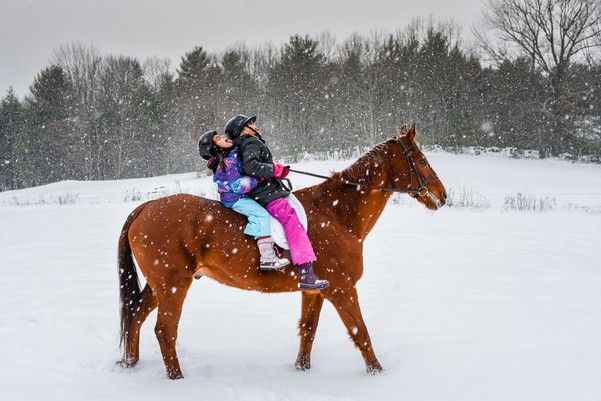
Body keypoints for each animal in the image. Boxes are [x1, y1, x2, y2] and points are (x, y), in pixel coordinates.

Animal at [117, 122, 446, 378]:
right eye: (422, 160)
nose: (442, 195)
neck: (338, 214)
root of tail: (145, 208)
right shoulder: (342, 289)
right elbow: (360, 332)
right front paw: (378, 374)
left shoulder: (315, 291)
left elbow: (308, 330)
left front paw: (301, 371)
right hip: (172, 285)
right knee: (164, 330)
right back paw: (177, 379)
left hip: (158, 286)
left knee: (135, 316)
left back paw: (130, 365)